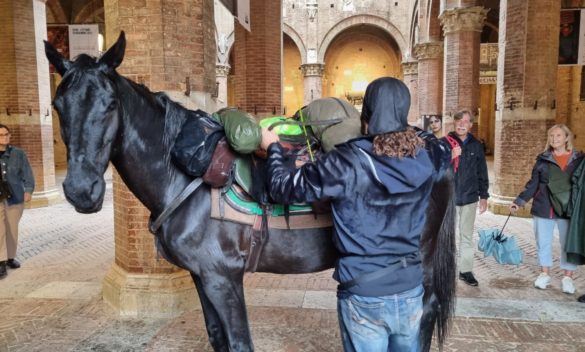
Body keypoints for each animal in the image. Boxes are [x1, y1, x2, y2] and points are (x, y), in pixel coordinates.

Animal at [45, 31, 456, 350]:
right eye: (57, 104)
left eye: (111, 103)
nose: (81, 190)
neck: (186, 175)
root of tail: (434, 144)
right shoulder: (202, 276)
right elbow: (217, 338)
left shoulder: (224, 278)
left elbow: (240, 342)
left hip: (422, 257)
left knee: (423, 311)